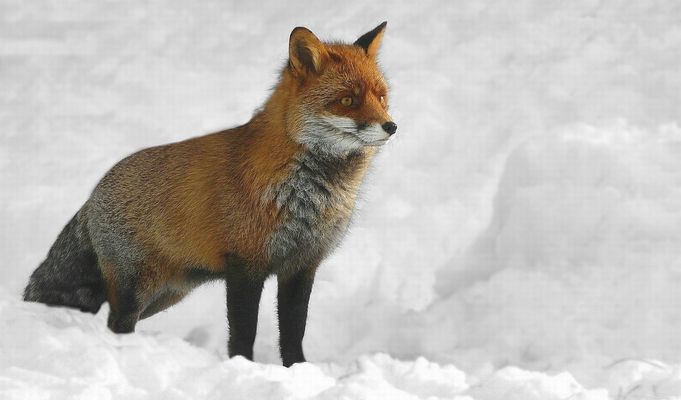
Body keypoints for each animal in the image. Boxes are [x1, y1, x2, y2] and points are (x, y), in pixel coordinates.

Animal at [23, 22, 396, 367]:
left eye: (381, 97)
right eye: (347, 100)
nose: (391, 126)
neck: (307, 194)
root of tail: (93, 193)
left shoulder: (301, 266)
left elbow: (293, 333)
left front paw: (298, 372)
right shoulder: (246, 265)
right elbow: (244, 332)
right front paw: (243, 368)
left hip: (167, 293)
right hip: (137, 287)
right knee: (116, 322)